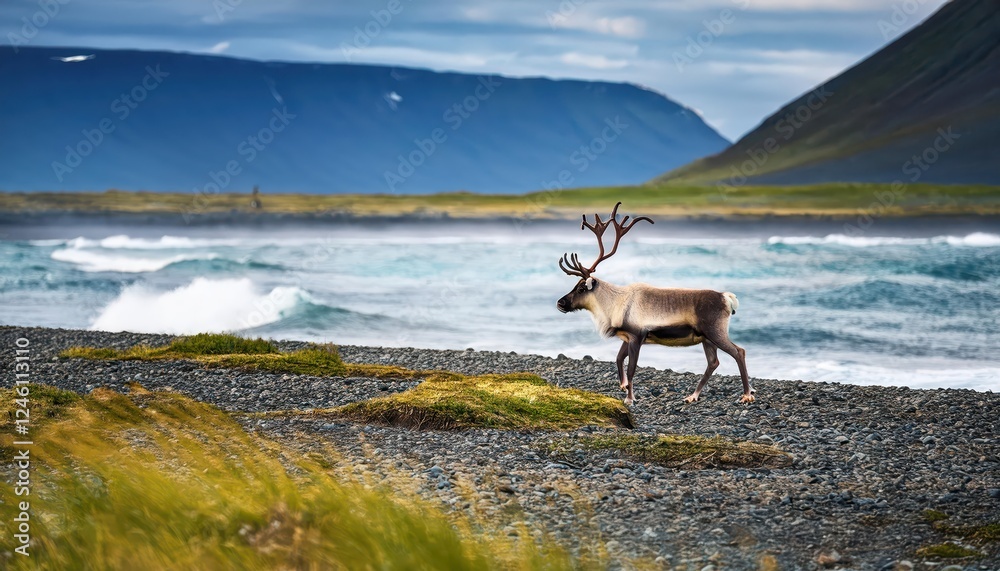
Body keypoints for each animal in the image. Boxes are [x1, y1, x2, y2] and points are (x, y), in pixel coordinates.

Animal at [556, 202, 754, 406]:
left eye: (581, 288)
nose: (560, 303)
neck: (614, 304)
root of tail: (726, 297)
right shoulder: (627, 337)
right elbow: (618, 359)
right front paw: (623, 386)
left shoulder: (637, 336)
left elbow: (631, 369)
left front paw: (630, 398)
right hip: (706, 338)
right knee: (713, 362)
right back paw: (692, 396)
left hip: (715, 331)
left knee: (739, 352)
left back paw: (747, 395)